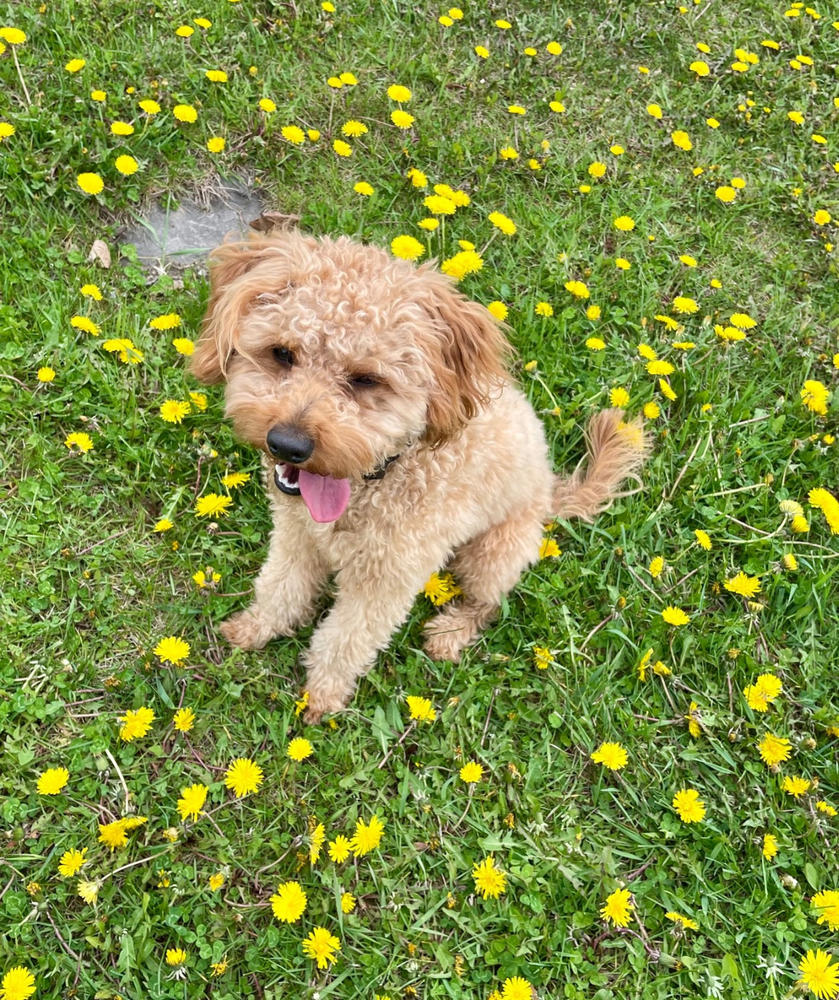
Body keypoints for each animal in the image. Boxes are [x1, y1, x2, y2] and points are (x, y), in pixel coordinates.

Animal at [192, 230, 648, 724]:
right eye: (282, 353)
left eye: (366, 380)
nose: (287, 445)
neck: (377, 478)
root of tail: (550, 491)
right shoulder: (295, 537)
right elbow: (280, 588)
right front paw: (255, 628)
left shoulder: (386, 579)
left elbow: (346, 639)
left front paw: (323, 695)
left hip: (494, 551)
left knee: (488, 602)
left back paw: (451, 632)